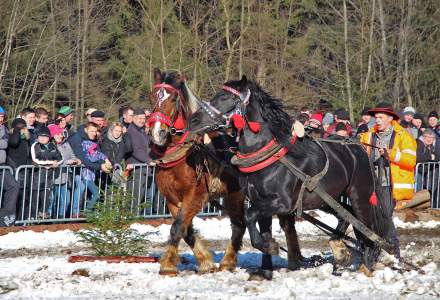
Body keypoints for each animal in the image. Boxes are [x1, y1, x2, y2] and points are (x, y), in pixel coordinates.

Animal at [147, 69, 244, 276]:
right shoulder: (171, 199)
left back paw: (229, 260)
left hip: (237, 194)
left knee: (240, 225)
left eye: (173, 98)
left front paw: (167, 265)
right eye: (152, 96)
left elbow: (177, 227)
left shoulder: (196, 195)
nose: (157, 133)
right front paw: (205, 261)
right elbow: (186, 230)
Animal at [188, 75, 396, 274]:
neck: (271, 156)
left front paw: (270, 247)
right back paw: (340, 251)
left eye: (226, 97)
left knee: (367, 229)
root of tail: (359, 149)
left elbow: (249, 215)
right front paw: (265, 266)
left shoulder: (282, 203)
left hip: (360, 196)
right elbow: (260, 229)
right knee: (346, 215)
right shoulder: (260, 201)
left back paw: (366, 263)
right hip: (327, 199)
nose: (193, 121)